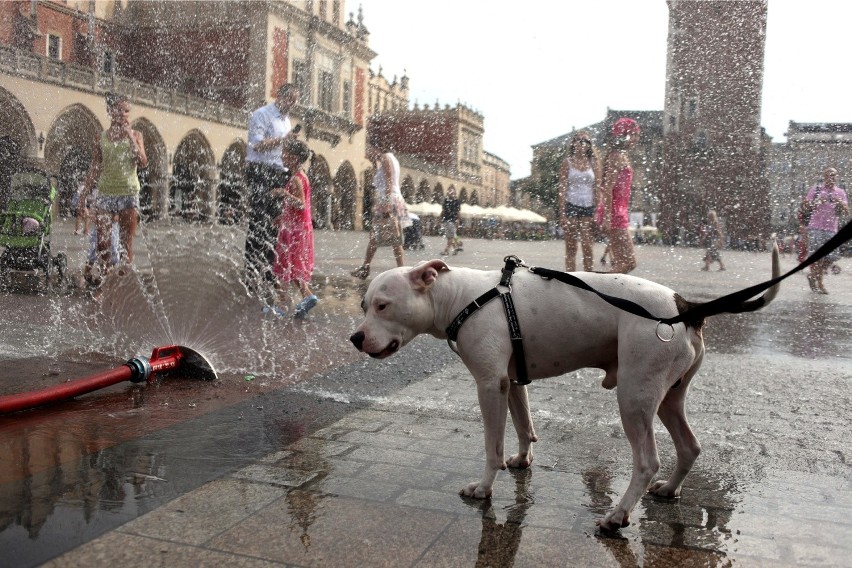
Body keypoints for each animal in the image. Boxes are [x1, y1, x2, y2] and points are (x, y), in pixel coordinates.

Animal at [352, 253, 780, 532]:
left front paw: (485, 488)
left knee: (647, 462)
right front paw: (522, 460)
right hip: (668, 397)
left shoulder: (490, 386)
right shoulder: (512, 382)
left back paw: (618, 516)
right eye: (363, 304)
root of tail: (685, 305)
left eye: (383, 305)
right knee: (689, 446)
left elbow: (491, 447)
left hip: (635, 397)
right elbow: (524, 426)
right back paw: (670, 490)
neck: (461, 298)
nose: (355, 338)